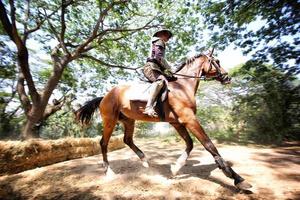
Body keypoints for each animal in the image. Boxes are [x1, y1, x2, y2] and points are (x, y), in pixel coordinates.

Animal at [74, 49, 251, 190]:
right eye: (217, 61)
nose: (227, 77)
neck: (182, 87)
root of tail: (105, 96)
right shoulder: (189, 119)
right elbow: (209, 145)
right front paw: (237, 178)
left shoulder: (177, 122)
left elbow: (190, 144)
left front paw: (175, 168)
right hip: (110, 121)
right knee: (103, 143)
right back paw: (109, 171)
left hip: (129, 121)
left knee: (127, 140)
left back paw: (145, 161)